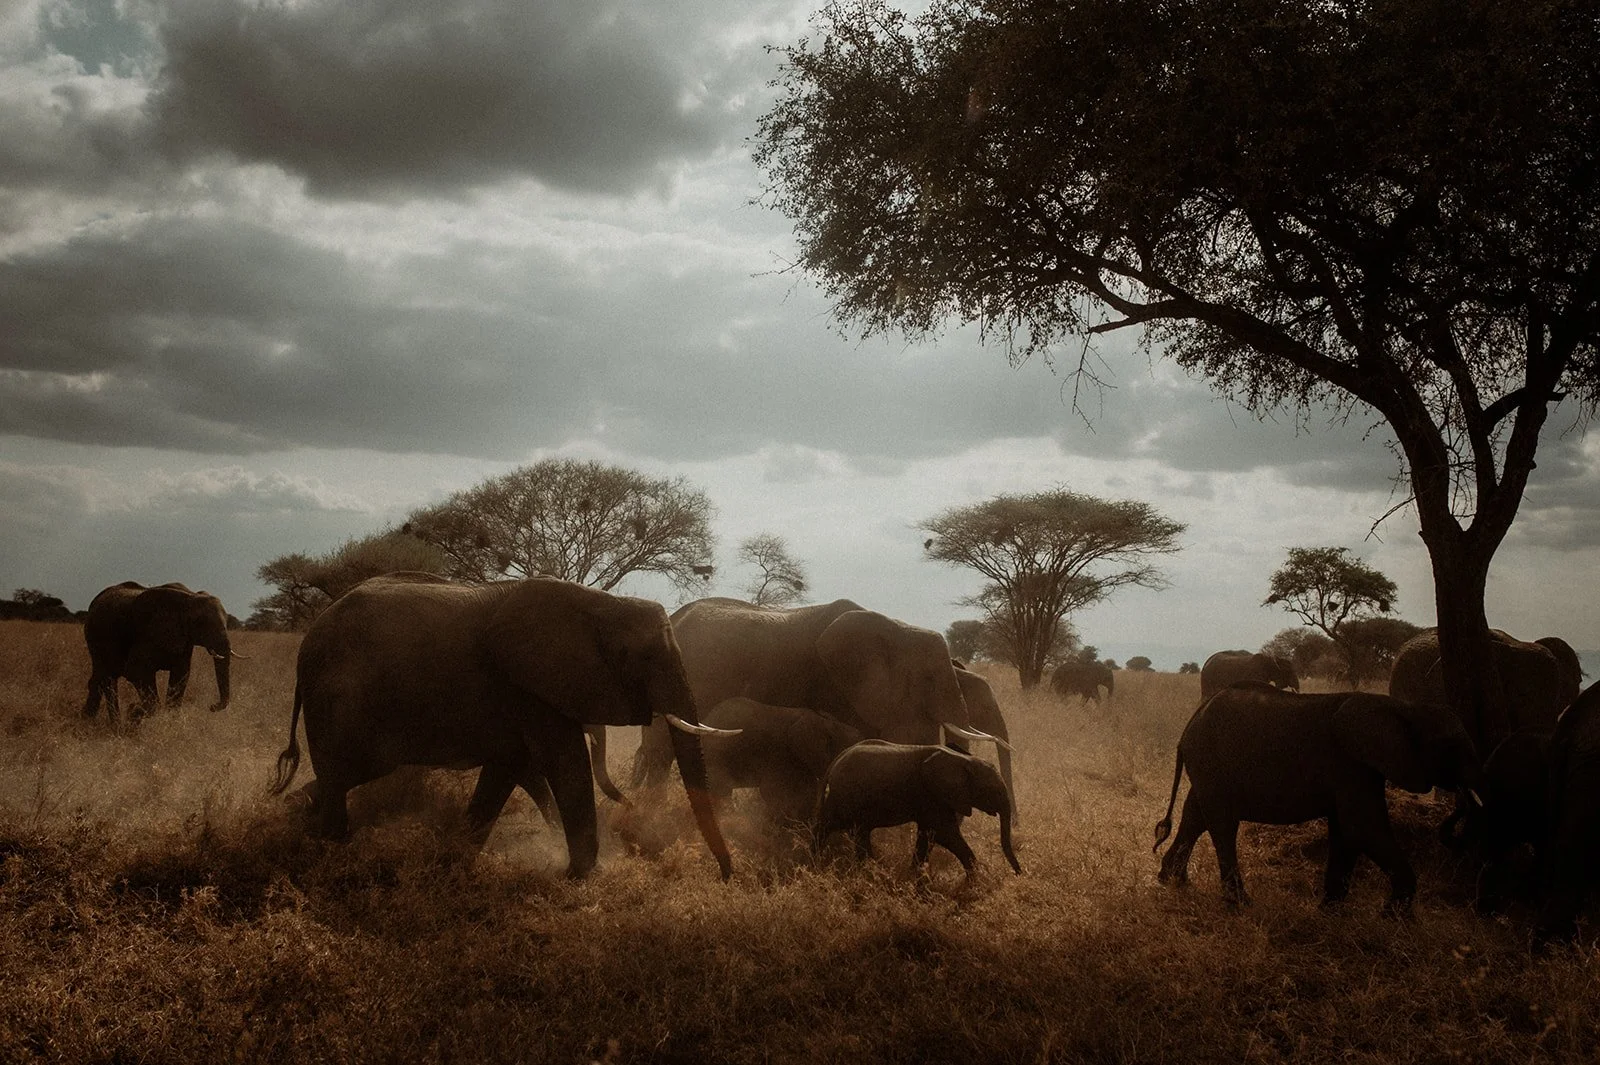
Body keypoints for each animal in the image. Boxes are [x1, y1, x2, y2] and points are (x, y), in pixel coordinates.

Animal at [82, 581, 233, 726]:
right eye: (201, 623)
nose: (212, 706)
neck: (191, 598)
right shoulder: (148, 633)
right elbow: (136, 671)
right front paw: (133, 711)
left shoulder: (184, 643)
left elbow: (181, 675)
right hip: (96, 637)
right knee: (107, 679)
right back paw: (111, 725)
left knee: (99, 678)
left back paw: (89, 719)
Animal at [268, 572, 735, 881]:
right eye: (644, 657)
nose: (727, 876)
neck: (604, 602)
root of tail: (309, 639)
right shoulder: (528, 684)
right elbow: (563, 762)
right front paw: (581, 877)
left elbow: (508, 767)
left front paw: (456, 860)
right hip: (338, 698)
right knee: (346, 771)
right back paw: (329, 850)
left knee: (343, 774)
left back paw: (300, 820)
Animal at [813, 740, 1021, 876]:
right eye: (993, 791)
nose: (1018, 873)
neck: (962, 759)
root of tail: (835, 761)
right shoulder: (930, 794)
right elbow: (945, 835)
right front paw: (976, 883)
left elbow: (929, 835)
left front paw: (914, 876)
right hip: (846, 796)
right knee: (833, 827)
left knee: (850, 831)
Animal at [1153, 684, 1480, 910]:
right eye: (1450, 747)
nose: (1463, 795)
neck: (1403, 707)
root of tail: (1191, 724)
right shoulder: (1351, 764)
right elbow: (1363, 826)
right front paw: (1394, 916)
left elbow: (1347, 831)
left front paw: (1331, 912)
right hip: (1213, 764)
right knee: (1222, 825)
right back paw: (1240, 903)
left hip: (1209, 769)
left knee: (1195, 816)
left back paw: (1173, 882)